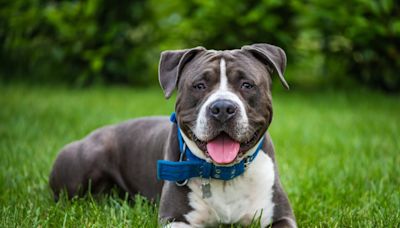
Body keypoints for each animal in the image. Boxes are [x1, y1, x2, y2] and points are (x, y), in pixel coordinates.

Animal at [49, 43, 296, 227]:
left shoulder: (281, 217)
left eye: (247, 85)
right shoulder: (175, 219)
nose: (223, 108)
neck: (224, 174)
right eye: (199, 85)